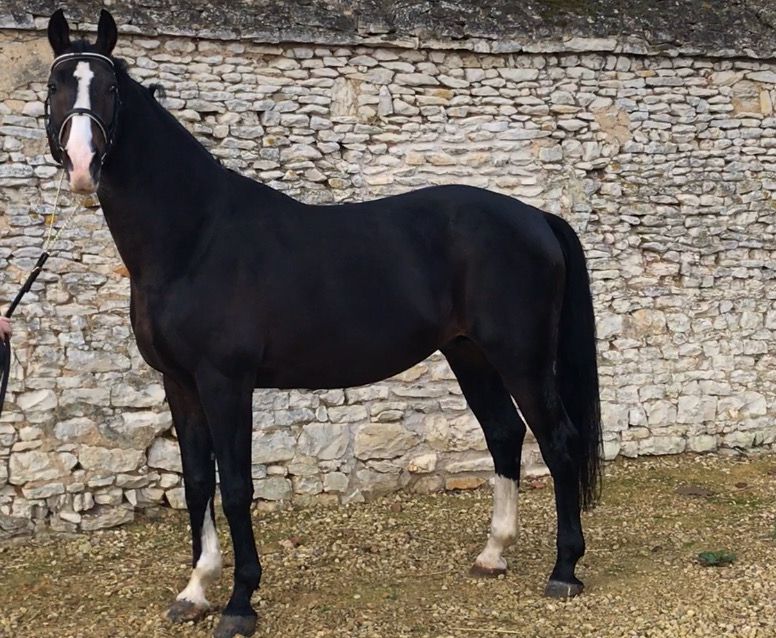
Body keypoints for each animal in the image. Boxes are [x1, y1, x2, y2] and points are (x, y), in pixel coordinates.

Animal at [43, 9, 602, 638]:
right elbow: (196, 483)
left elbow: (236, 487)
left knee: (558, 441)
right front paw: (195, 590)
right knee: (504, 433)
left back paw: (564, 570)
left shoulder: (225, 382)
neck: (195, 237)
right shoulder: (179, 383)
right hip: (470, 353)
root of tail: (535, 217)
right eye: (54, 84)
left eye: (110, 90)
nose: (82, 166)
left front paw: (240, 602)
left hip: (521, 358)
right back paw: (493, 554)